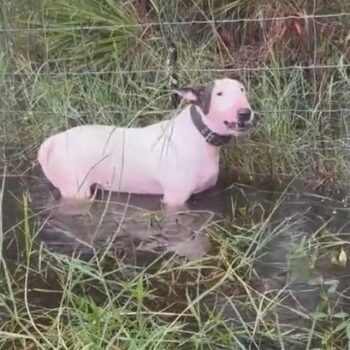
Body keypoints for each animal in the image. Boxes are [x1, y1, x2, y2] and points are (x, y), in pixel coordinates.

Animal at [37, 77, 254, 212]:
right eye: (219, 94)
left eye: (242, 89)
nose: (245, 113)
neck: (199, 135)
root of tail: (53, 140)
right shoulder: (175, 199)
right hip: (75, 188)